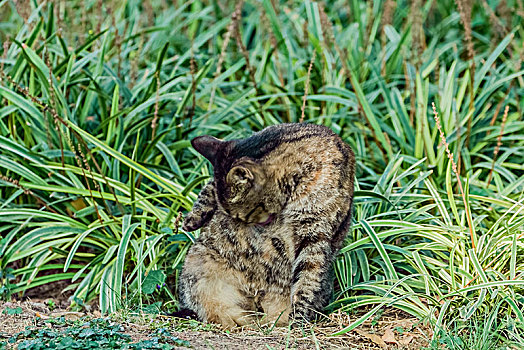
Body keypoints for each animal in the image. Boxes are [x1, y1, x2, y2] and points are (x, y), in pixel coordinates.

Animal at [178, 123, 354, 328]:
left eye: (245, 215)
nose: (250, 226)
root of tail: (256, 292)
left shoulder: (314, 237)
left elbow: (306, 284)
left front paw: (298, 319)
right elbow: (208, 189)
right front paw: (192, 218)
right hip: (198, 268)